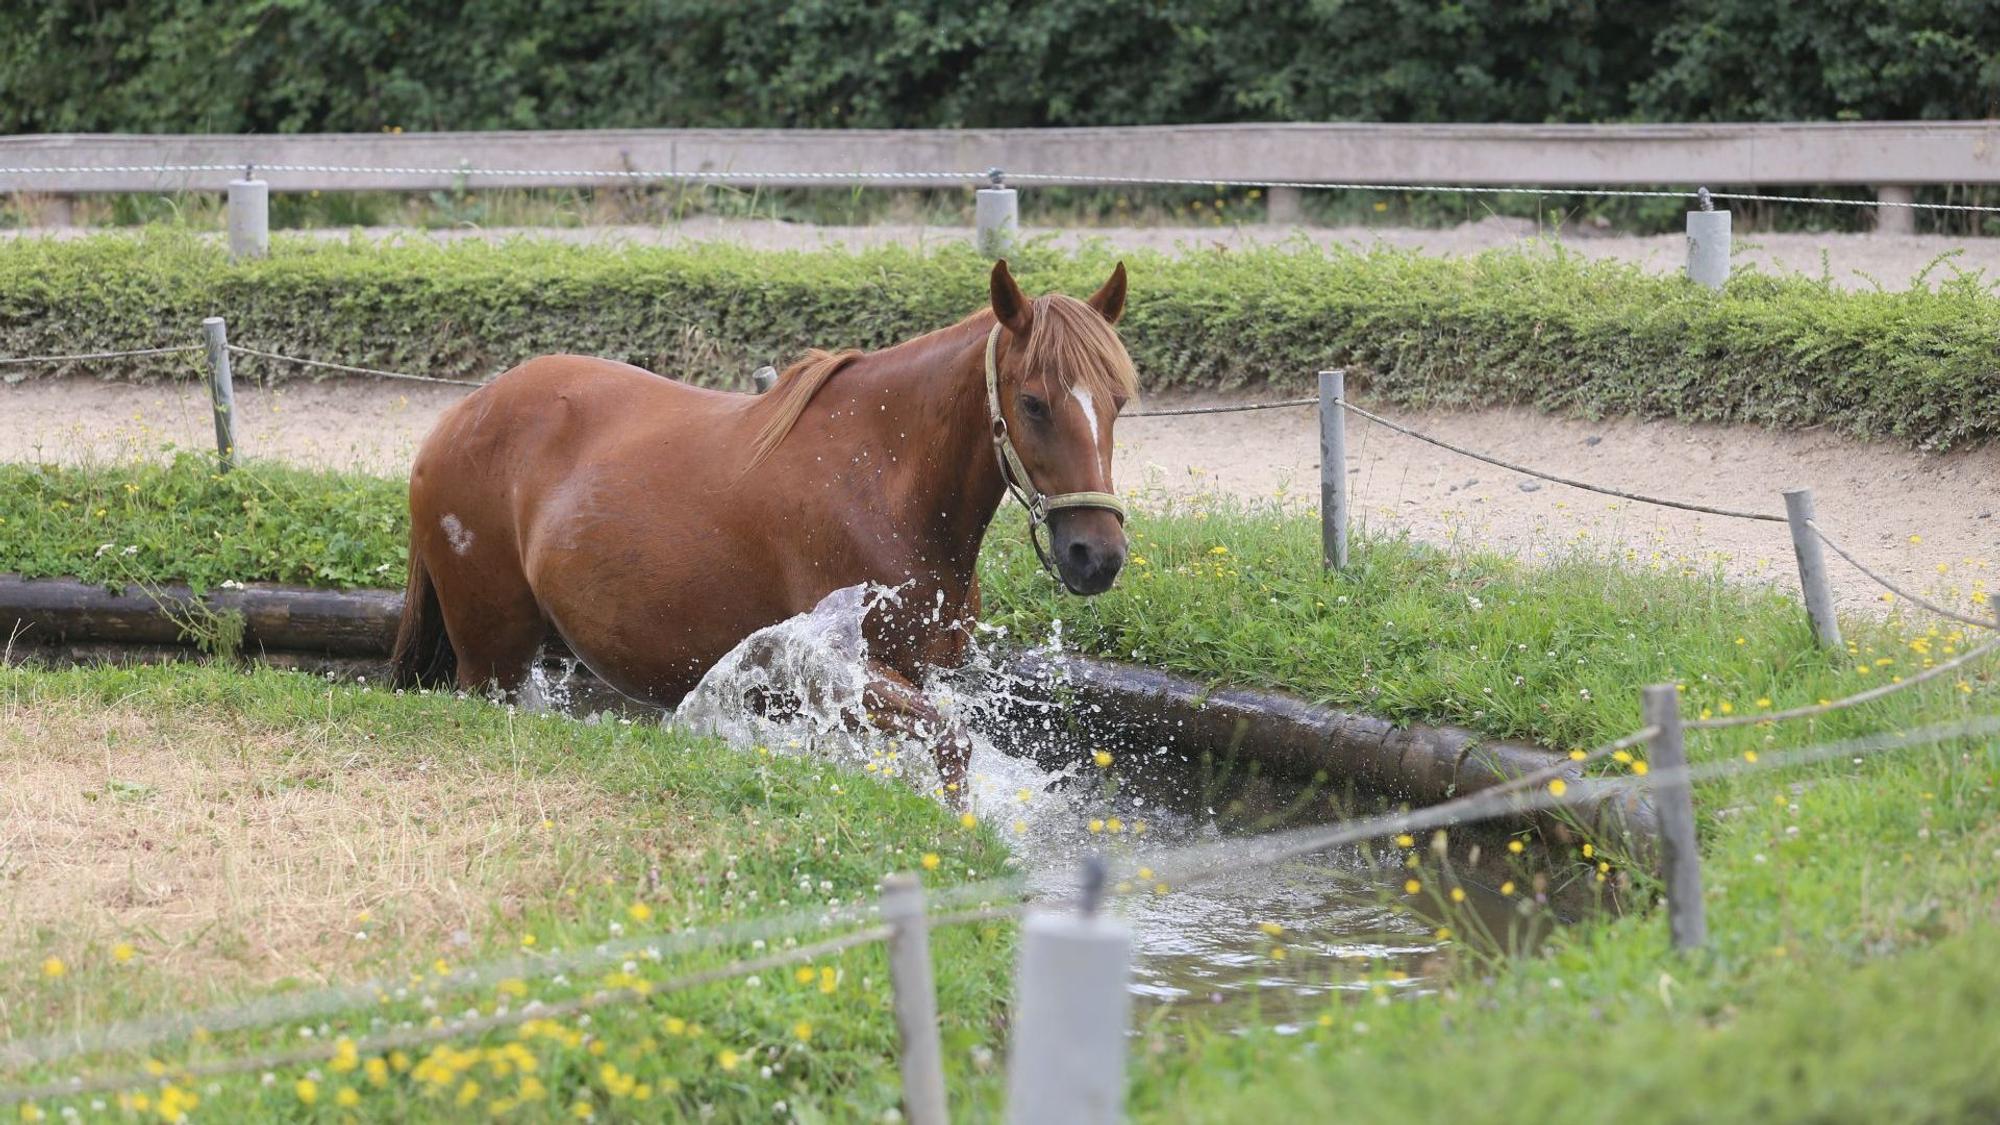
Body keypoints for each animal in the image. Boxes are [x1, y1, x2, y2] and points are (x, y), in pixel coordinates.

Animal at [390, 259, 1136, 791]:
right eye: (1033, 402)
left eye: (1118, 401)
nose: (1096, 554)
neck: (881, 479)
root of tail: (458, 420)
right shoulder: (839, 668)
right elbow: (953, 743)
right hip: (491, 658)